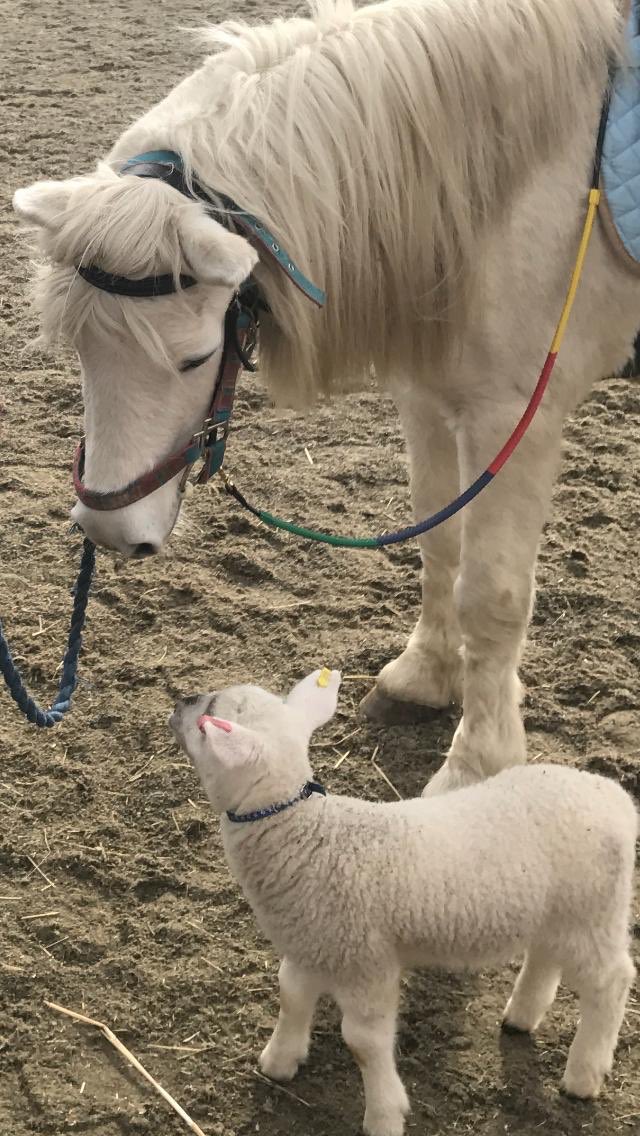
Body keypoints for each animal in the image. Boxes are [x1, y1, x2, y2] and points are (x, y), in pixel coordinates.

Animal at [12, 0, 638, 795]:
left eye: (194, 359)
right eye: (80, 350)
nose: (108, 531)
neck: (510, 173)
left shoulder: (513, 418)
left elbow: (492, 596)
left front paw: (477, 767)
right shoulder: (428, 397)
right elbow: (440, 540)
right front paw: (424, 677)